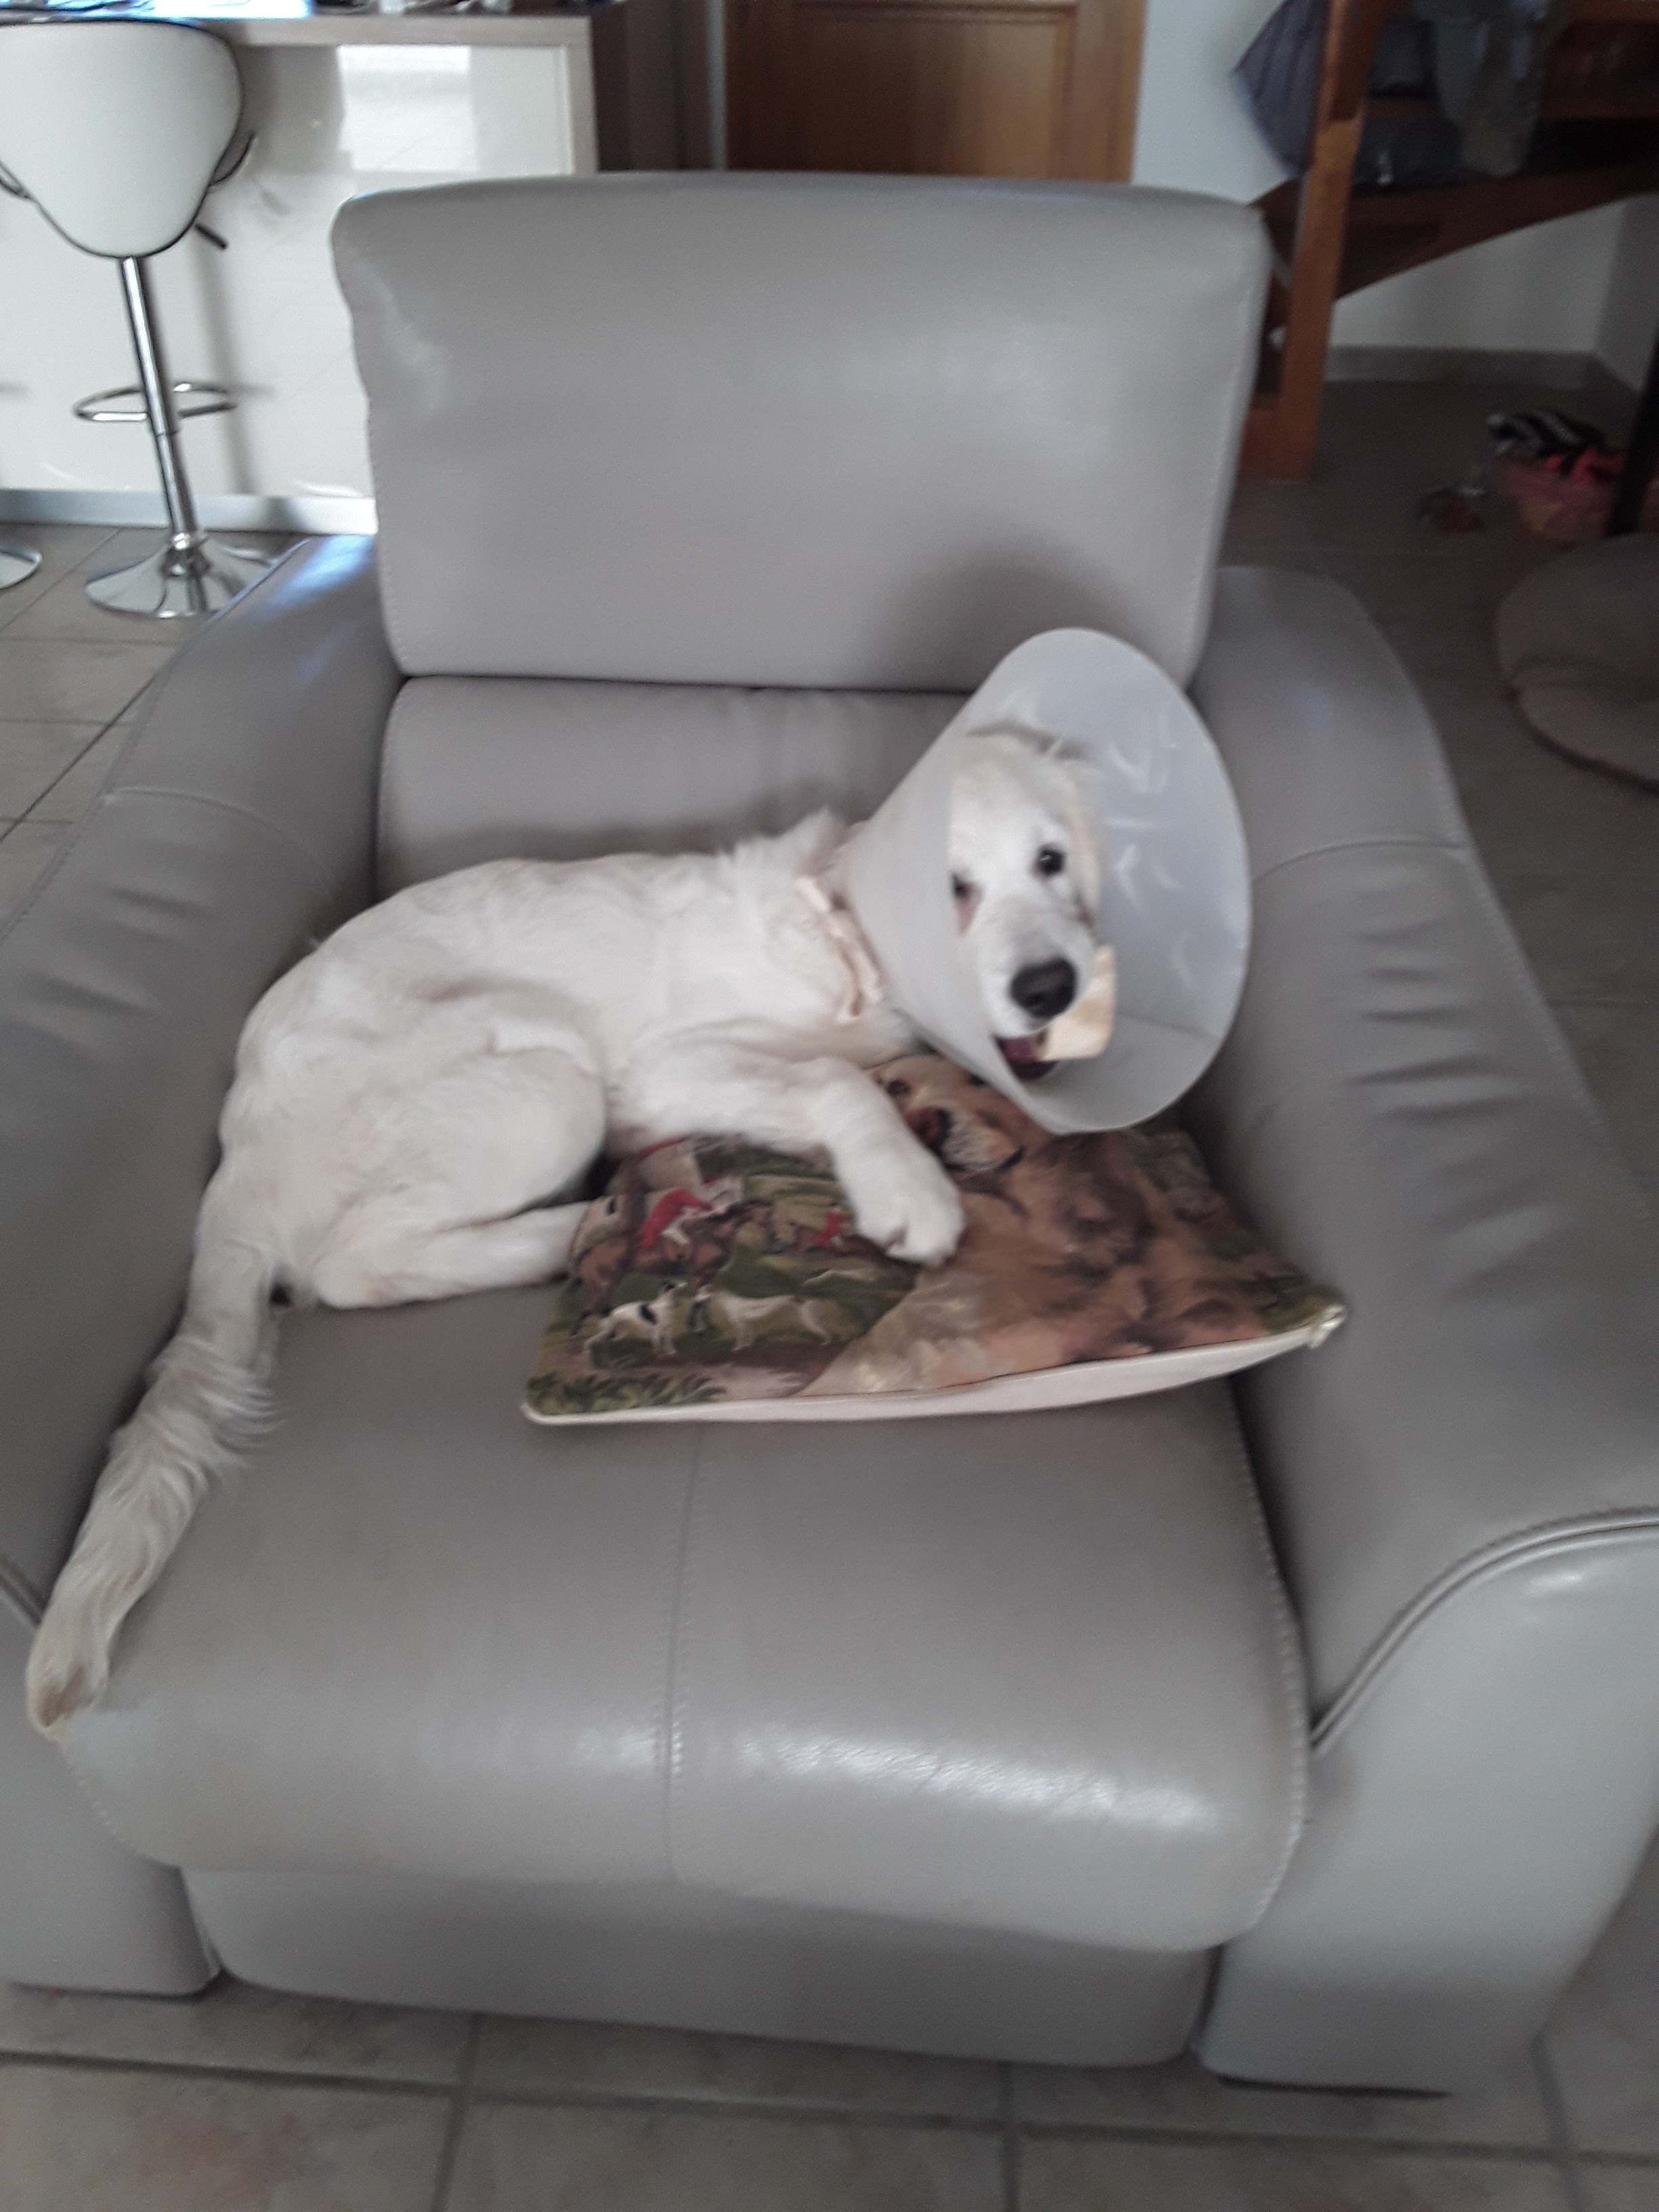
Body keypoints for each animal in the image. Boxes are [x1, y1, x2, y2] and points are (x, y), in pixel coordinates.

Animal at [25, 731, 1102, 1735]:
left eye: (1052, 861)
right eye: (950, 888)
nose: (1053, 987)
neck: (850, 955)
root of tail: (234, 1166)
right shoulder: (653, 1077)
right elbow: (835, 1080)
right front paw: (905, 1186)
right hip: (553, 1078)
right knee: (344, 1266)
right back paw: (560, 1233)